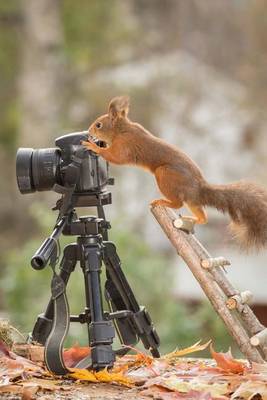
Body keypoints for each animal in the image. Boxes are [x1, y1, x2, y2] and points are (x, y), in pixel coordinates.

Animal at [82, 95, 267, 248]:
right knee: (203, 217)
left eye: (98, 125)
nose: (89, 132)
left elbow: (115, 157)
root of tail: (199, 188)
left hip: (164, 175)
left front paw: (93, 146)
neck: (121, 129)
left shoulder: (125, 145)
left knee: (178, 203)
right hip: (193, 201)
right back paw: (193, 218)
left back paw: (162, 201)